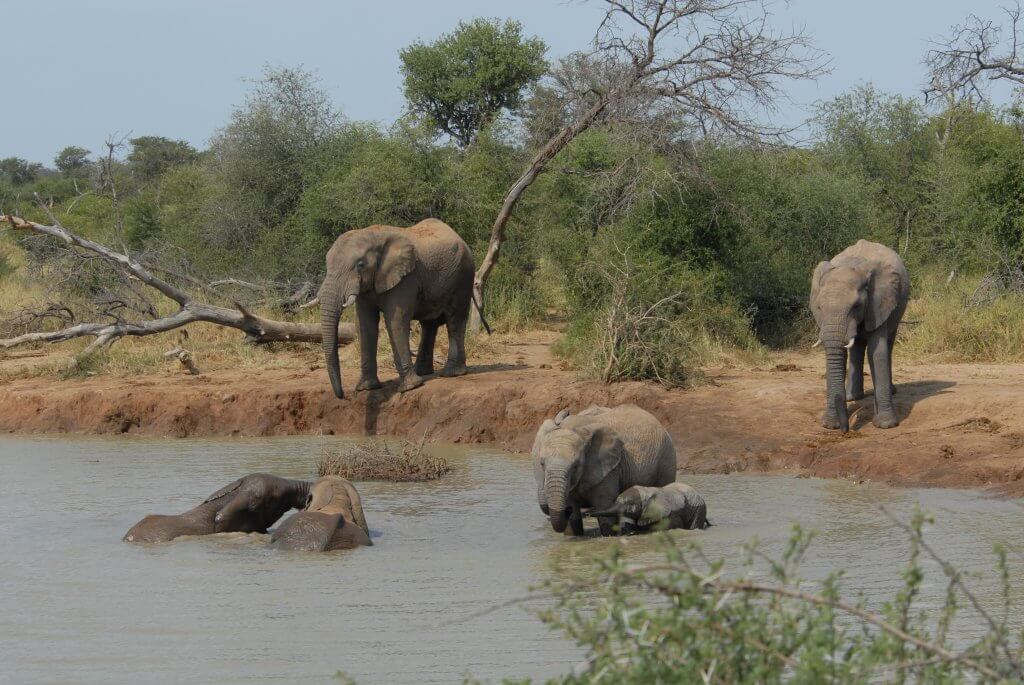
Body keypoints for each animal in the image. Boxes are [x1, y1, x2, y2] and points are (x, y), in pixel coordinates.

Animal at [317, 219, 477, 397]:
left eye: (360, 264)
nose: (342, 395)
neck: (374, 235)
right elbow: (365, 325)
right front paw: (367, 388)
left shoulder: (405, 278)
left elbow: (395, 321)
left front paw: (410, 387)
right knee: (429, 324)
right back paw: (423, 372)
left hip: (463, 276)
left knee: (455, 319)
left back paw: (451, 373)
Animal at [532, 403, 675, 536]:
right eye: (542, 464)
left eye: (576, 466)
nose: (566, 511)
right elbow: (573, 518)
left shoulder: (610, 469)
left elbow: (605, 509)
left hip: (666, 458)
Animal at [806, 241, 913, 432]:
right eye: (819, 307)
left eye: (856, 306)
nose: (846, 430)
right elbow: (836, 356)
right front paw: (829, 425)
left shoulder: (878, 304)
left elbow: (876, 352)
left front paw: (886, 425)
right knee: (856, 348)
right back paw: (852, 397)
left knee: (889, 344)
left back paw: (890, 391)